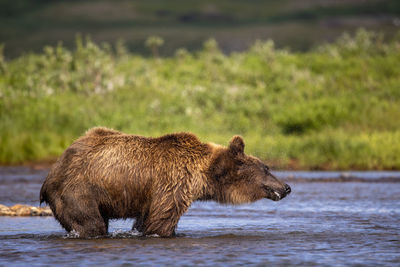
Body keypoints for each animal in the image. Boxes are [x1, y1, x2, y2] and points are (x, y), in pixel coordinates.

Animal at [40, 127, 290, 239]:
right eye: (266, 168)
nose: (286, 187)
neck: (203, 174)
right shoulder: (172, 185)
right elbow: (161, 222)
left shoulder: (152, 197)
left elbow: (145, 221)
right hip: (78, 190)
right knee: (91, 224)